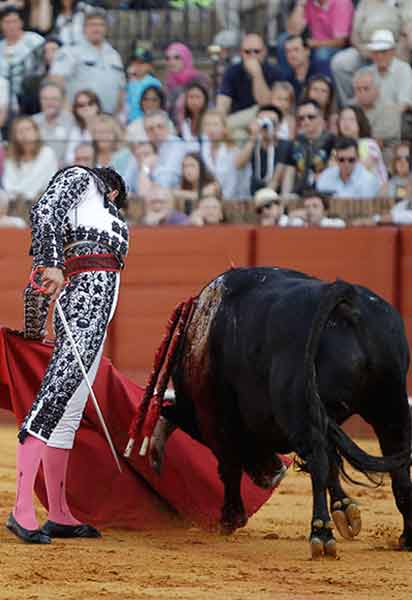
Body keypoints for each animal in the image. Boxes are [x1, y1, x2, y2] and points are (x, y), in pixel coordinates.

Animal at [162, 268, 412, 556]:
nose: (273, 474)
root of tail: (345, 296)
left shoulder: (216, 420)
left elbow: (229, 466)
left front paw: (229, 518)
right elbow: (334, 464)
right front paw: (345, 510)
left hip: (299, 408)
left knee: (318, 459)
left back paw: (321, 534)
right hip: (390, 404)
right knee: (397, 460)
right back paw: (407, 537)